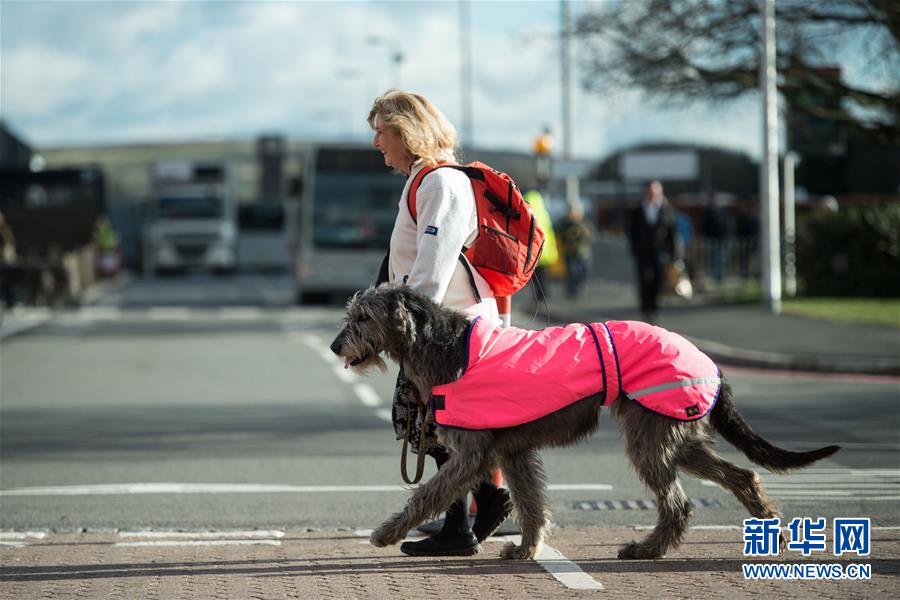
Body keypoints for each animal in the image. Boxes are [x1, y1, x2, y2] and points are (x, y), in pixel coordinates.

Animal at [332, 284, 844, 560]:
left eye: (363, 316)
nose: (337, 346)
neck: (443, 347)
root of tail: (711, 364)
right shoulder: (513, 451)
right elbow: (530, 503)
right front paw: (526, 550)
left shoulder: (474, 453)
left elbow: (428, 492)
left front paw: (388, 532)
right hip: (678, 433)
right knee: (742, 474)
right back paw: (771, 529)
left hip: (652, 435)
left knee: (679, 503)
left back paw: (646, 550)